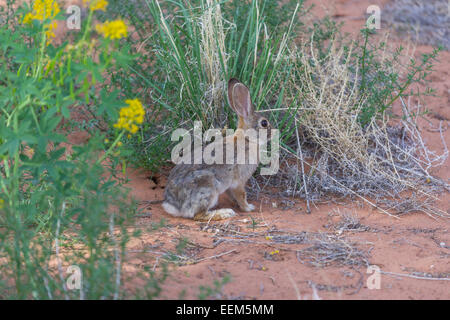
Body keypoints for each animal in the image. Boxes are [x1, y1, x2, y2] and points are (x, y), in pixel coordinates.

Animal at [163, 79, 272, 221]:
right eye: (264, 123)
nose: (272, 133)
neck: (247, 139)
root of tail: (173, 206)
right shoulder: (239, 181)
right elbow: (241, 195)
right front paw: (248, 208)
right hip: (208, 188)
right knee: (198, 215)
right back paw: (224, 213)